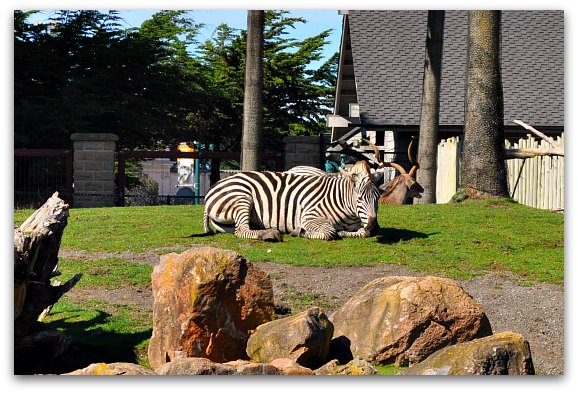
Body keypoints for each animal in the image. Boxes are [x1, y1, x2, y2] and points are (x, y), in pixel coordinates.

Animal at [202, 158, 382, 239]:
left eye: (378, 197)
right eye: (360, 198)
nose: (374, 226)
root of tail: (215, 186)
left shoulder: (360, 225)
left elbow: (362, 232)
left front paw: (345, 232)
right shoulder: (310, 216)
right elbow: (329, 233)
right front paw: (301, 232)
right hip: (242, 198)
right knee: (241, 231)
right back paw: (268, 234)